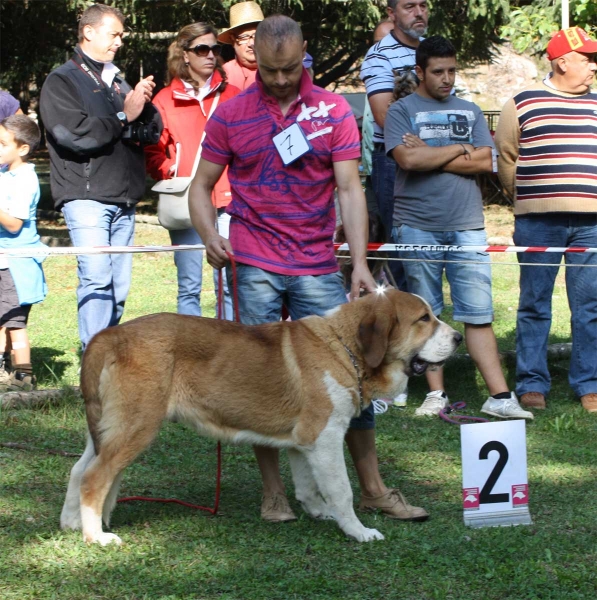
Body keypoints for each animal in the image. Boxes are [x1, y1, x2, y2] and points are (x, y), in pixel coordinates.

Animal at [60, 288, 460, 548]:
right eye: (424, 319)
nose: (457, 337)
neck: (344, 345)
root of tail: (108, 335)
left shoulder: (304, 443)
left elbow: (308, 487)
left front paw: (320, 513)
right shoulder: (326, 438)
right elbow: (341, 491)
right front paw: (358, 531)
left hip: (105, 430)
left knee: (79, 470)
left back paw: (71, 523)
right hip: (137, 427)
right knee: (94, 478)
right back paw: (96, 537)